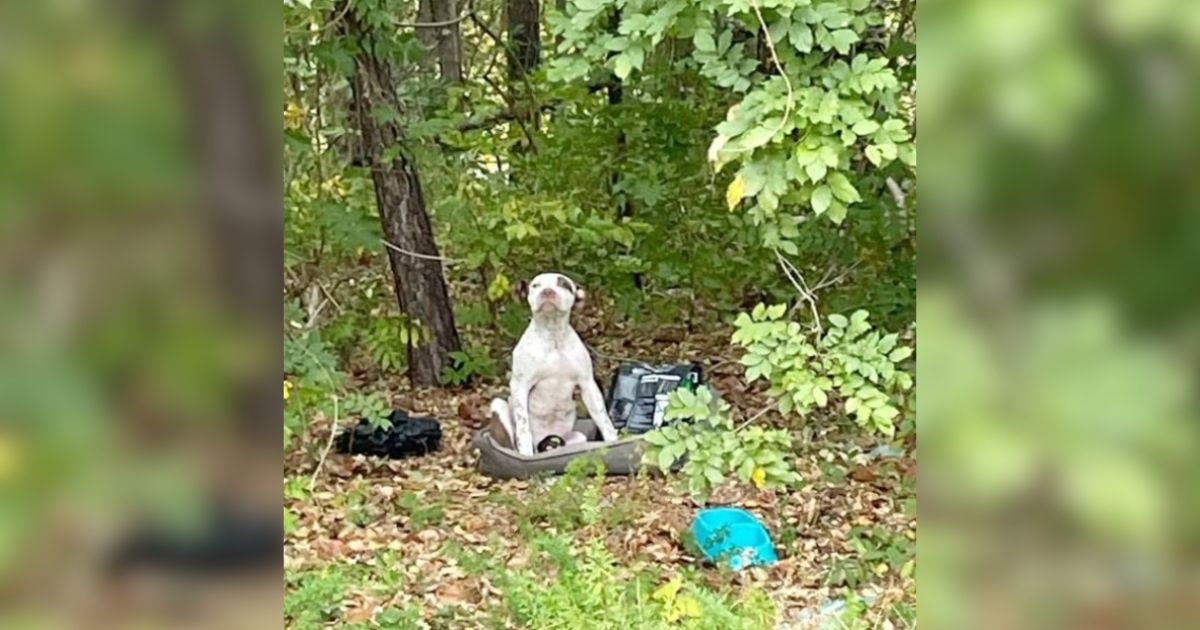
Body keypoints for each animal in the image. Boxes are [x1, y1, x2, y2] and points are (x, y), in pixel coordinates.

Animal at [487, 270, 619, 451]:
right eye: (535, 285)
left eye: (564, 284)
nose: (547, 292)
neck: (553, 335)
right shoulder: (520, 385)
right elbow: (523, 428)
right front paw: (526, 452)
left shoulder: (588, 385)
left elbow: (604, 421)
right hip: (498, 405)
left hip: (576, 437)